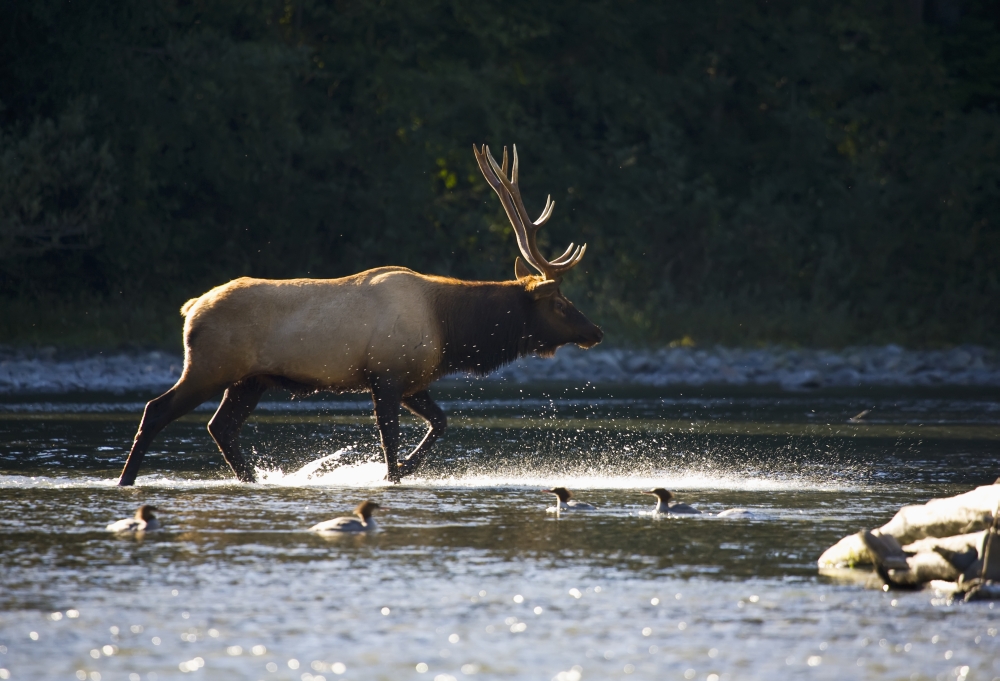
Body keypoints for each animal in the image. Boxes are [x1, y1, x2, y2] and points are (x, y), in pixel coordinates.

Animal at [116, 144, 603, 486]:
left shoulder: (413, 379)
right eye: (561, 304)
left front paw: (403, 468)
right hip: (211, 365)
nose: (596, 331)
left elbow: (440, 423)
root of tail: (191, 309)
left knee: (220, 427)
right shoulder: (385, 374)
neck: (451, 332)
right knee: (157, 410)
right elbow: (390, 442)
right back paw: (126, 480)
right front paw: (391, 473)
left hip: (249, 379)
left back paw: (253, 479)